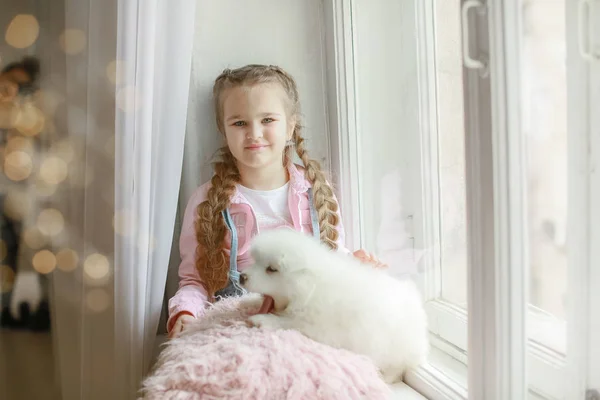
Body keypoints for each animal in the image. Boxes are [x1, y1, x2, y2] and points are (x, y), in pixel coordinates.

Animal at [241, 228, 428, 382]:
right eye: (256, 261)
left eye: (272, 269)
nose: (241, 277)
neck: (311, 287)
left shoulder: (320, 328)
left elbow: (290, 322)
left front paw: (261, 319)